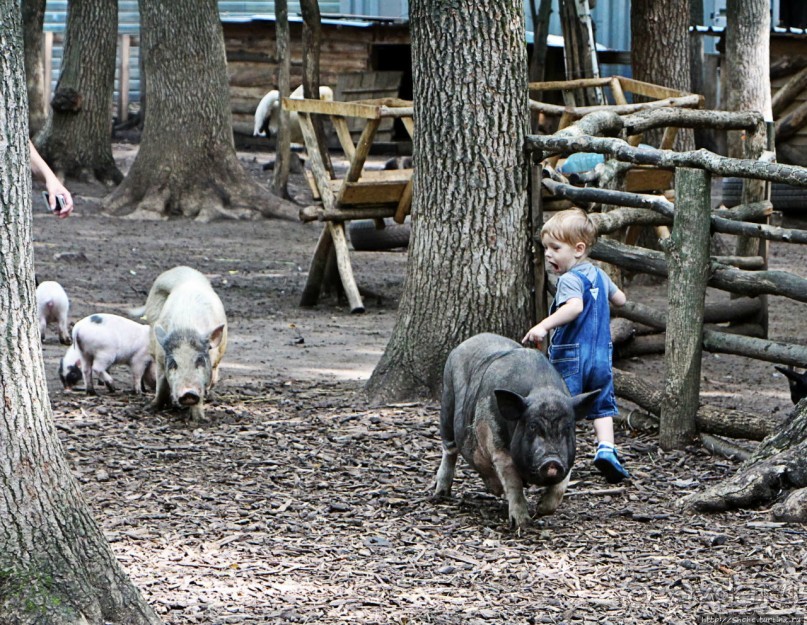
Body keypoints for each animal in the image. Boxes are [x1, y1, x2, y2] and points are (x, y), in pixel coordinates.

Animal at [132, 264, 227, 420]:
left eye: (200, 361)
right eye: (173, 363)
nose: (188, 394)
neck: (186, 329)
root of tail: (182, 268)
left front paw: (200, 419)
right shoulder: (160, 357)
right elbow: (161, 384)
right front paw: (150, 408)